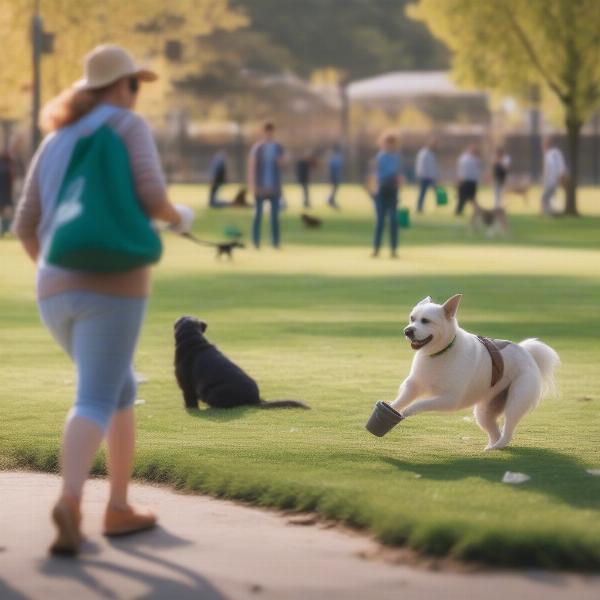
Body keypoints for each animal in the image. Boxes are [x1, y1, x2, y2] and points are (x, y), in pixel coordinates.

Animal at [386, 296, 560, 450]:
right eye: (412, 318)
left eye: (426, 321)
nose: (407, 331)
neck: (441, 353)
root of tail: (527, 352)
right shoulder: (414, 385)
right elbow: (402, 399)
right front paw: (391, 407)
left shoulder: (450, 400)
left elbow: (421, 403)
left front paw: (407, 411)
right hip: (484, 412)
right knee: (495, 432)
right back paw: (490, 447)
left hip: (515, 402)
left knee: (507, 431)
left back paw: (495, 448)